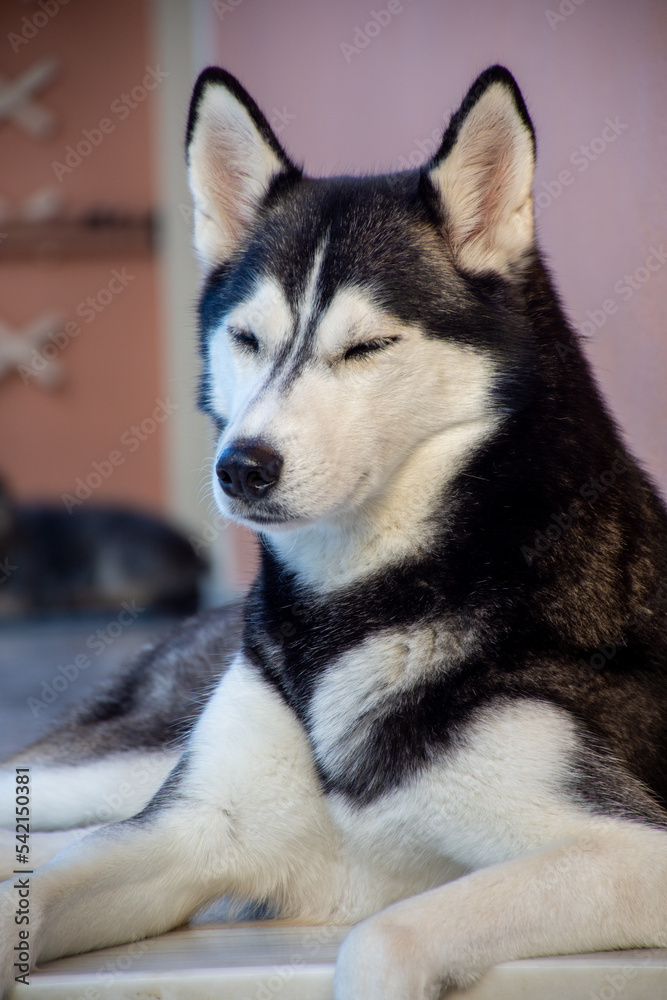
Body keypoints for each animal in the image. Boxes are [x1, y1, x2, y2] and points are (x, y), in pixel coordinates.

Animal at [1, 66, 667, 996]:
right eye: (246, 337)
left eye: (367, 346)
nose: (242, 467)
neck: (360, 605)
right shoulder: (189, 827)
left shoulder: (628, 849)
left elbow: (380, 938)